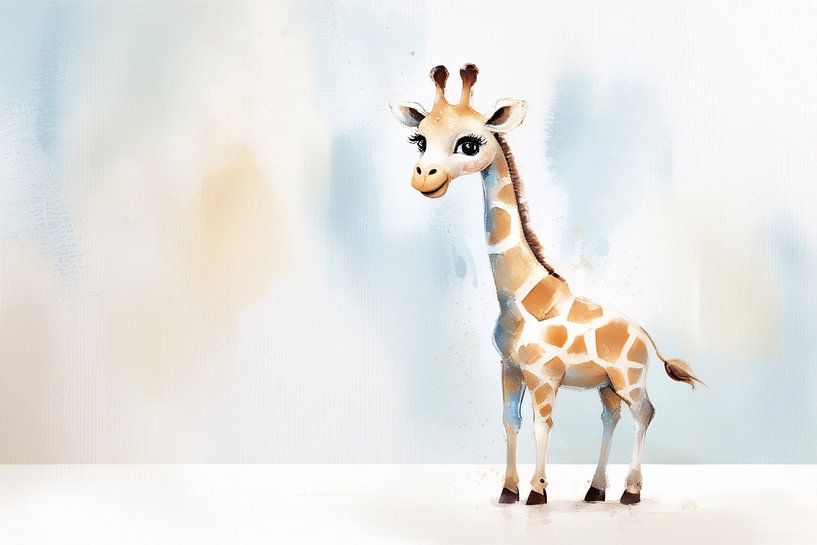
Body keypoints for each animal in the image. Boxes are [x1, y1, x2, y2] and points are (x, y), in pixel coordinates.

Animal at [390, 64, 703, 506]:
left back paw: (630, 491)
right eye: (419, 140)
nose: (424, 179)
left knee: (645, 412)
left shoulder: (543, 375)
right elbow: (510, 422)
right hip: (607, 385)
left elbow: (543, 424)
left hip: (630, 378)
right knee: (610, 416)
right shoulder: (509, 368)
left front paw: (537, 493)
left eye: (470, 143)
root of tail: (647, 339)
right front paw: (508, 491)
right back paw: (595, 490)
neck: (516, 296)